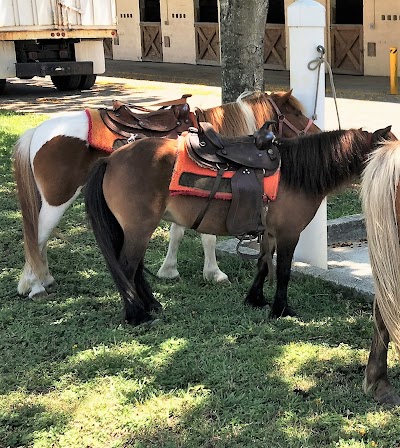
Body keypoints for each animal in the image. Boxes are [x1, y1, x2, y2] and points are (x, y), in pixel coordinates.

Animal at [13, 89, 318, 300]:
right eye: (296, 113)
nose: (317, 131)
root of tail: (38, 131)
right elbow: (206, 236)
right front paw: (214, 273)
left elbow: (178, 232)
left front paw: (169, 270)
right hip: (58, 199)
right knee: (37, 236)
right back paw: (35, 286)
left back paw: (43, 279)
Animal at [83, 121, 392, 328]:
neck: (297, 174)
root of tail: (111, 158)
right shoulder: (289, 234)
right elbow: (284, 272)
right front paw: (281, 310)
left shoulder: (269, 233)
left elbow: (264, 265)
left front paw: (255, 299)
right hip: (139, 228)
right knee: (126, 267)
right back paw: (137, 315)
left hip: (136, 229)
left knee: (134, 269)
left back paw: (151, 305)